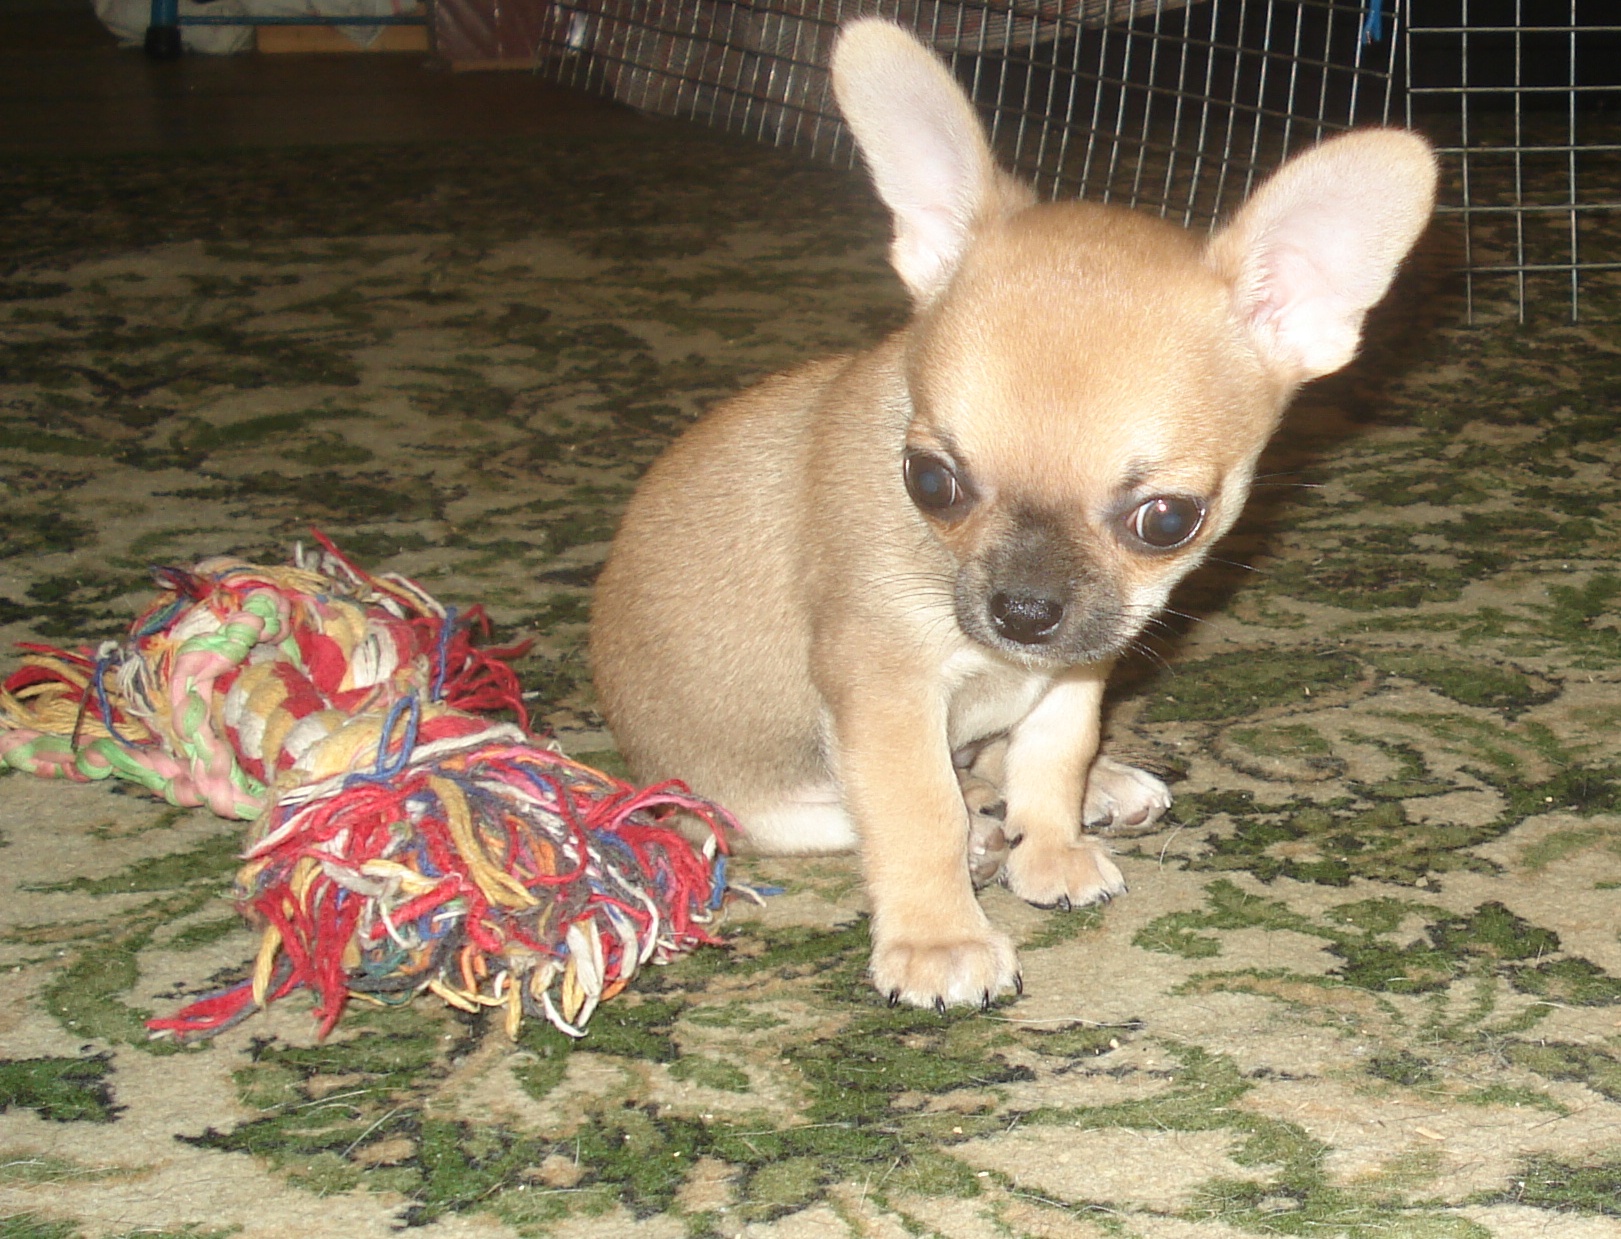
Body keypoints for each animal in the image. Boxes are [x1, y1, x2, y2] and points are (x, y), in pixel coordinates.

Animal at [589, 19, 1436, 1010]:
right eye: (929, 482)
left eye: (1166, 521)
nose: (1024, 611)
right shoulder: (884, 688)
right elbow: (914, 812)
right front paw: (937, 936)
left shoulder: (1077, 667)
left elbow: (1051, 754)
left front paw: (1055, 840)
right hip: (750, 799)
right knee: (866, 811)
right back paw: (979, 839)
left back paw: (1088, 790)